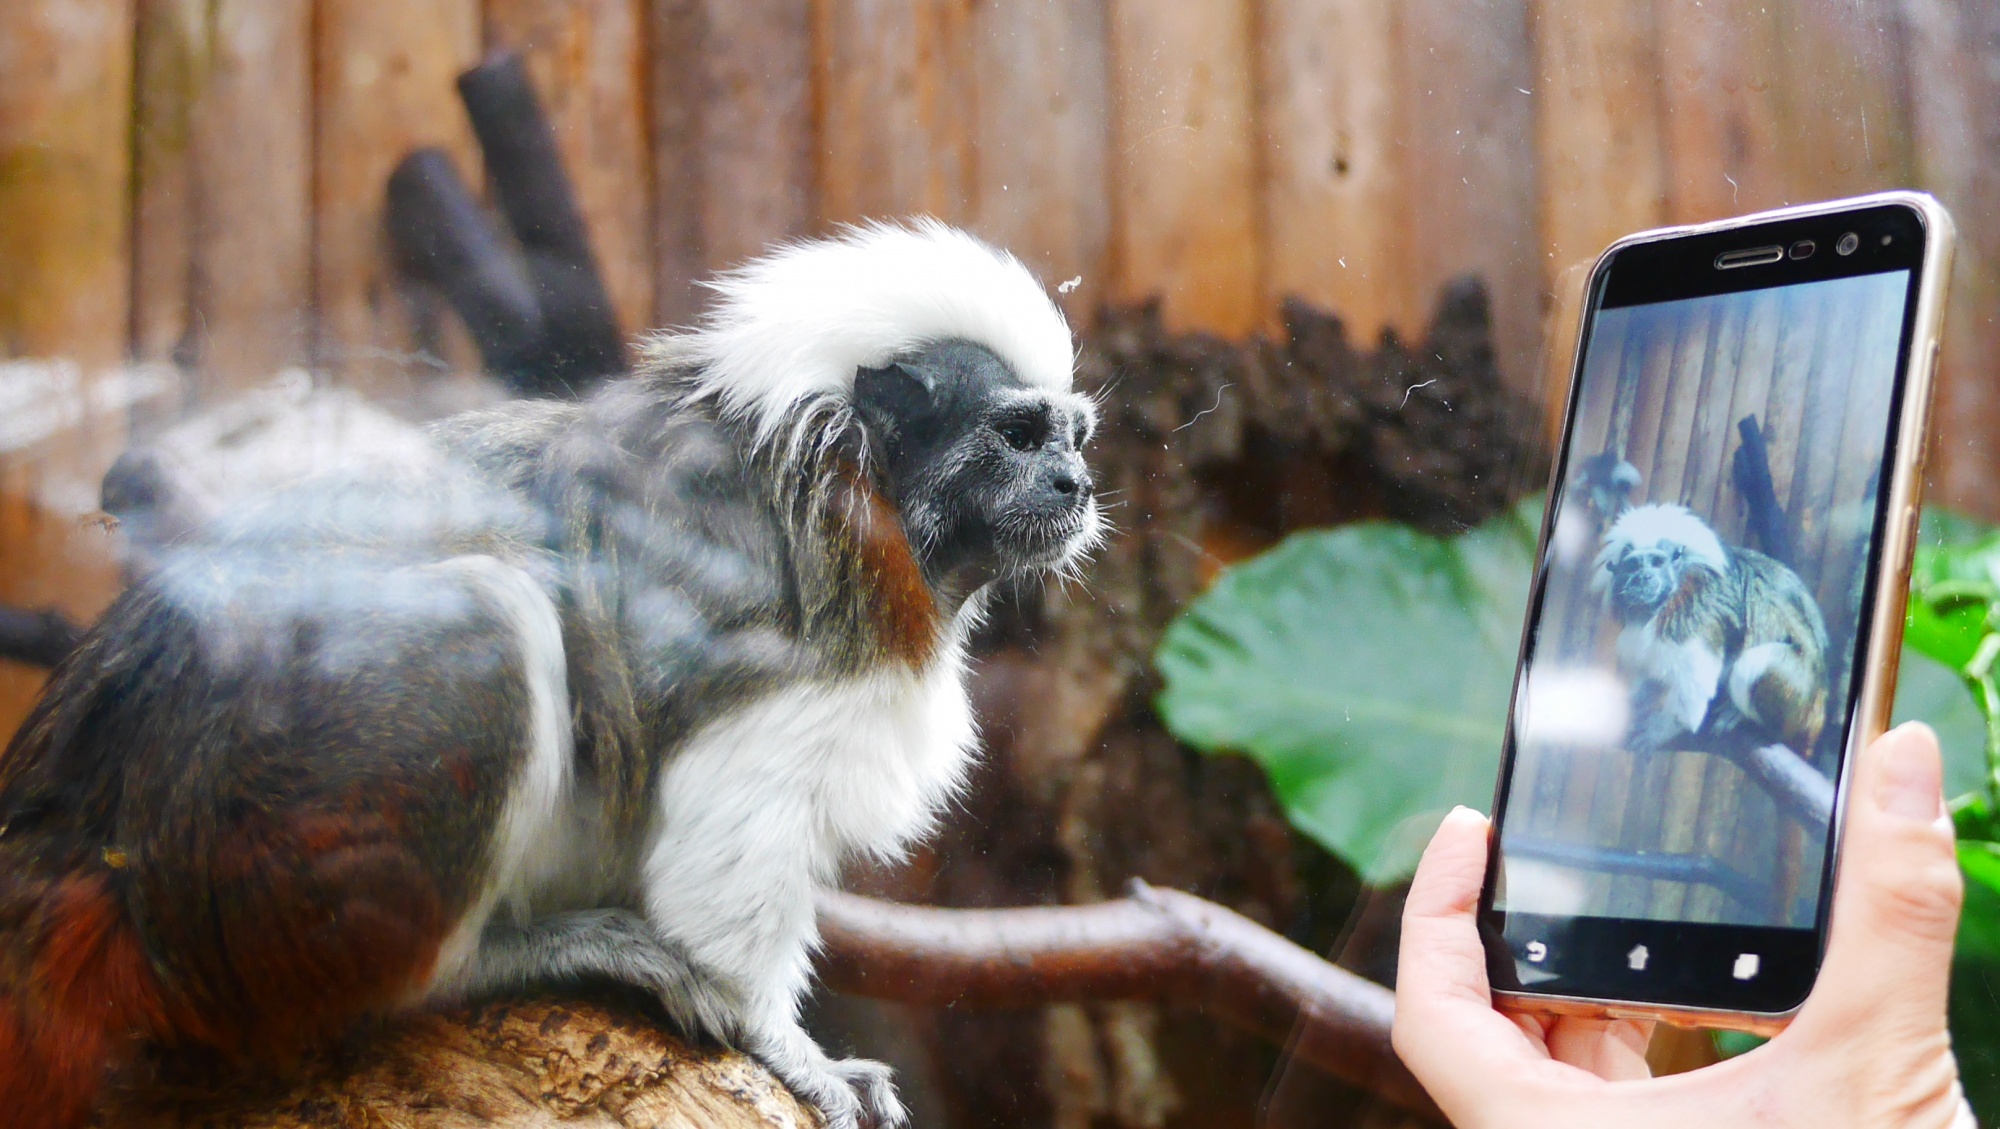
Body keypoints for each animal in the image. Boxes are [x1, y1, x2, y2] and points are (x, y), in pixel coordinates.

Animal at [1592, 504, 1832, 752]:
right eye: (1633, 566)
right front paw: (1637, 700)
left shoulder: (1691, 612)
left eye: (1657, 562)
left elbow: (1696, 680)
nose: (1643, 578)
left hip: (1800, 703)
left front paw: (1663, 729)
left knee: (1754, 663)